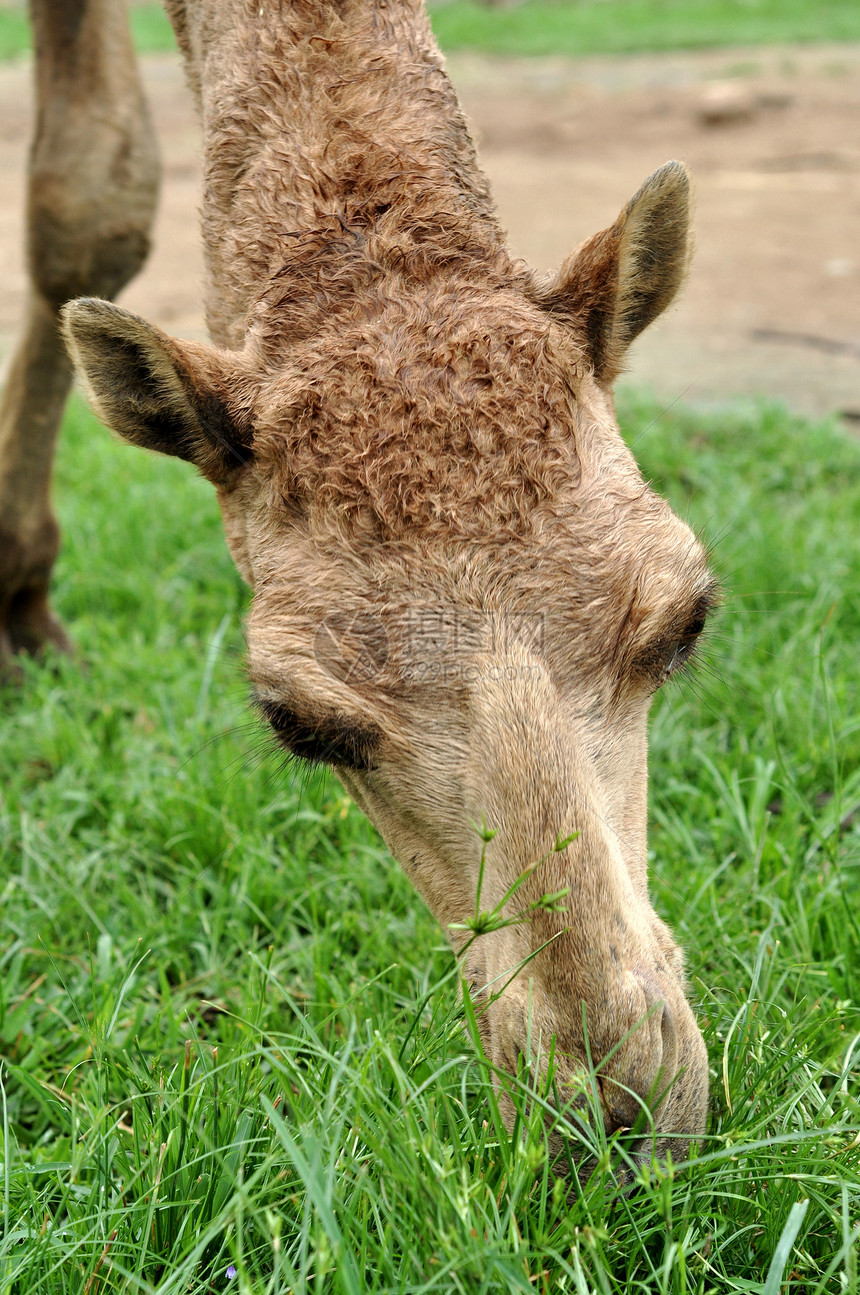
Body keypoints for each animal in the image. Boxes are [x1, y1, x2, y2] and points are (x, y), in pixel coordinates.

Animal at [1, 0, 709, 1165]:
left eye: (685, 621)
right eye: (295, 721)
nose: (612, 1111)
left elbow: (93, 209)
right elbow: (80, 201)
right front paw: (20, 604)